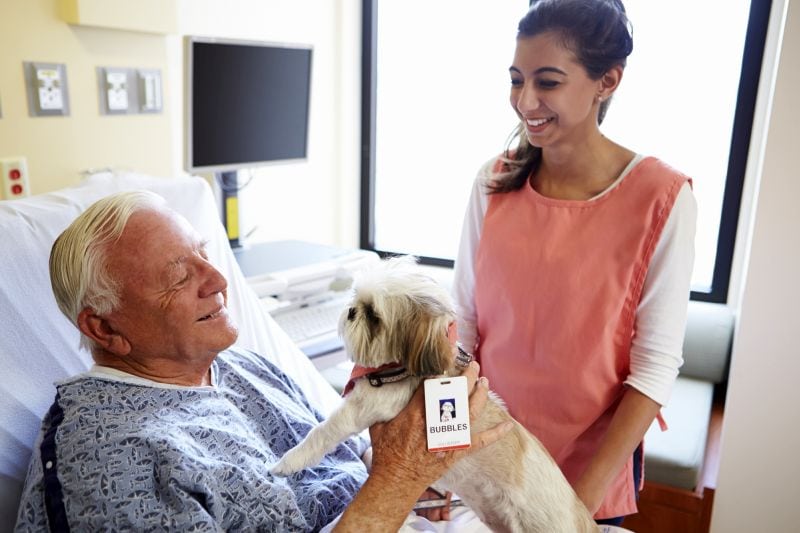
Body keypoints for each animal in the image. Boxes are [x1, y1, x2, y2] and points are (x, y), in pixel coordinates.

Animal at [272, 256, 596, 528]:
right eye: (355, 299)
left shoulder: (363, 408)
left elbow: (322, 432)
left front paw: (288, 462)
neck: (399, 370)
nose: (351, 311)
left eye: (373, 315)